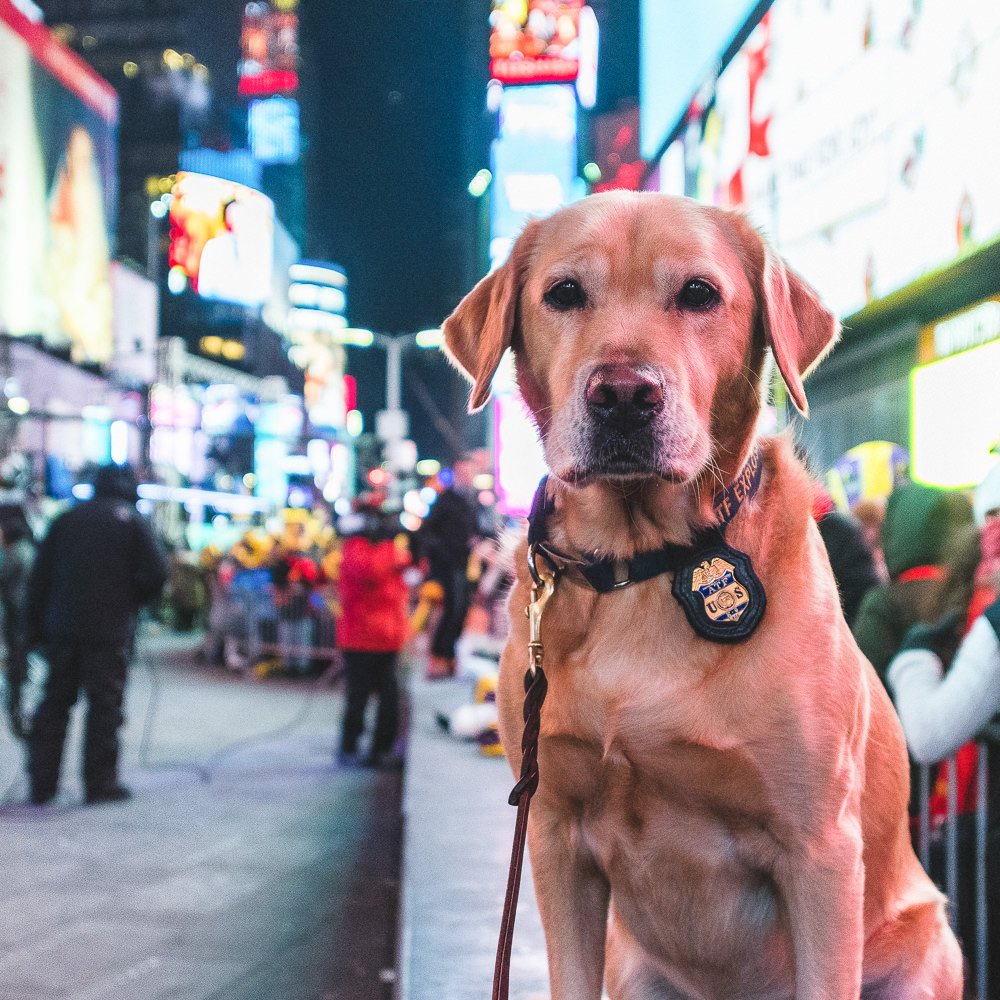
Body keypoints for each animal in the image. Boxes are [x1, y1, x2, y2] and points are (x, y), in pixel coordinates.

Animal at [444, 193, 960, 1000]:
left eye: (698, 293)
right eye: (564, 293)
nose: (624, 395)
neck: (641, 563)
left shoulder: (820, 849)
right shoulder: (555, 836)